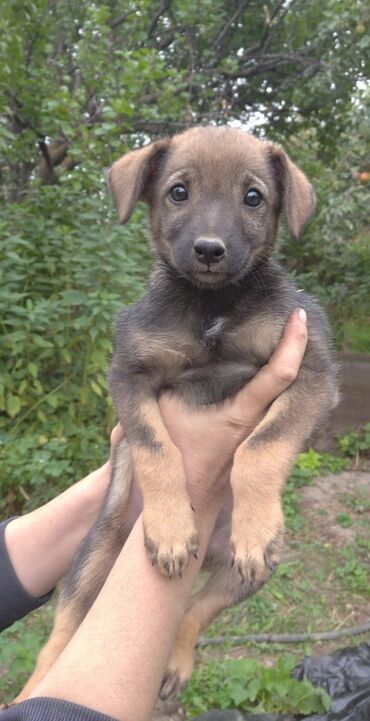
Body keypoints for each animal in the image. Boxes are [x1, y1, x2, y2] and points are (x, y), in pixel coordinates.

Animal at [15, 126, 338, 700]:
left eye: (253, 197)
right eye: (178, 192)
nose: (209, 249)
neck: (212, 307)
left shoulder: (312, 372)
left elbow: (262, 445)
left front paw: (254, 523)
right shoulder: (129, 374)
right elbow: (155, 447)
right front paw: (169, 528)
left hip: (252, 572)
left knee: (194, 611)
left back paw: (177, 660)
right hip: (96, 549)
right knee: (65, 626)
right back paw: (37, 686)